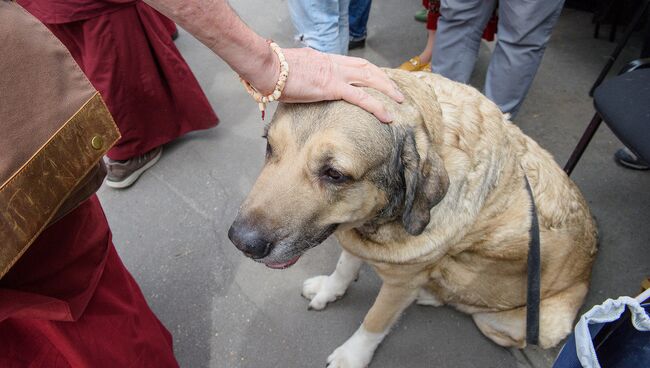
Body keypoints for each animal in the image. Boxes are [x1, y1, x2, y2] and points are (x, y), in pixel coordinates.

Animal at [229, 69, 596, 368]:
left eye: (334, 174)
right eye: (269, 146)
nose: (241, 242)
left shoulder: (400, 282)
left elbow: (374, 321)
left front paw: (352, 355)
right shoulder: (356, 238)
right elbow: (345, 266)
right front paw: (330, 289)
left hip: (539, 324)